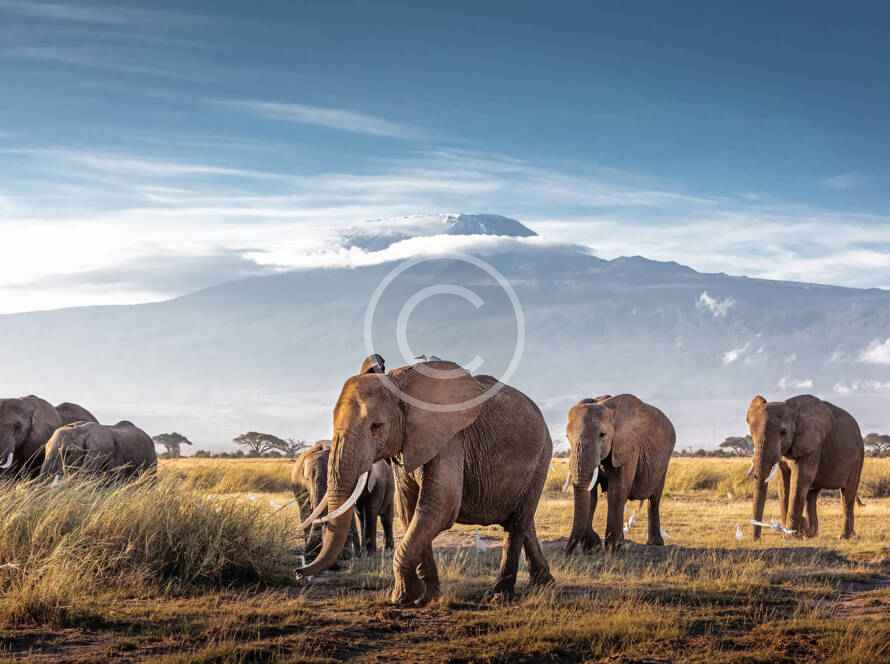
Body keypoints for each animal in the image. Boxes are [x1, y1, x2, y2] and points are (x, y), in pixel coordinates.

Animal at [295, 360, 554, 606]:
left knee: (517, 523)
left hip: (542, 456)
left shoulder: (451, 438)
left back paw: (500, 596)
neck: (399, 383)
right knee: (522, 521)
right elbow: (411, 510)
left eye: (376, 427)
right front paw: (426, 597)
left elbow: (440, 506)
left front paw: (401, 598)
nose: (299, 572)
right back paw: (543, 583)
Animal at [564, 394, 676, 553]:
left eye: (602, 435)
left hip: (664, 462)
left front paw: (614, 547)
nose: (567, 552)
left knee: (654, 499)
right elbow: (591, 495)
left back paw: (655, 543)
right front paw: (592, 547)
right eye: (567, 436)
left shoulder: (628, 448)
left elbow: (617, 491)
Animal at [747, 394, 864, 540]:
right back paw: (811, 534)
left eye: (783, 432)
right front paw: (790, 533)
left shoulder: (812, 446)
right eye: (752, 431)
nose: (756, 539)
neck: (790, 408)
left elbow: (800, 478)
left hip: (857, 459)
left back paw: (844, 536)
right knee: (812, 494)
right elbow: (783, 482)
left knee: (847, 493)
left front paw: (790, 537)